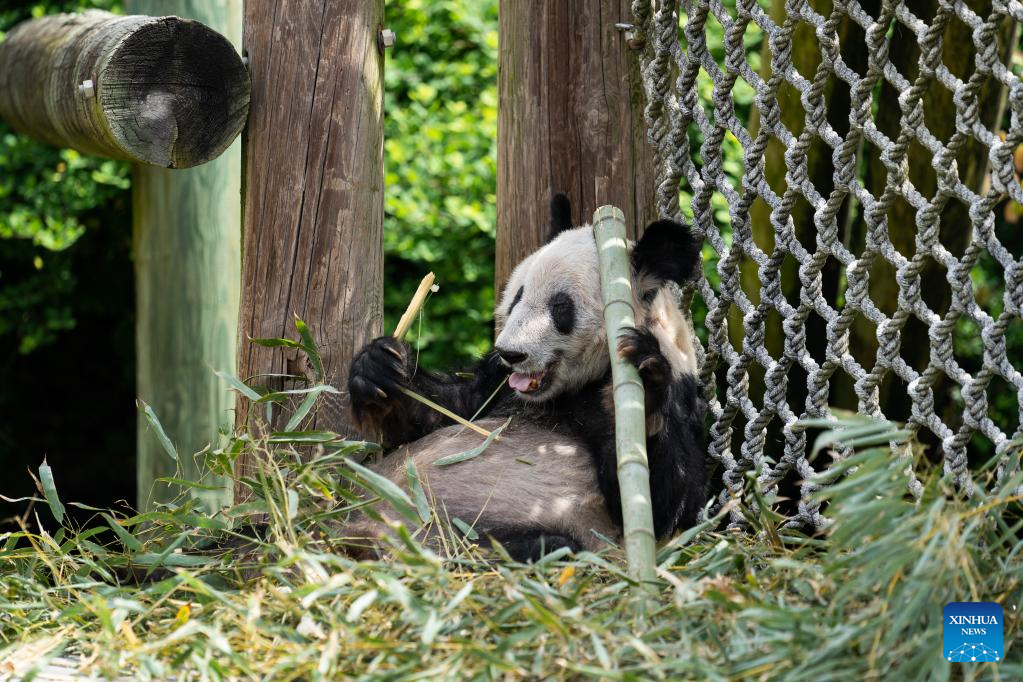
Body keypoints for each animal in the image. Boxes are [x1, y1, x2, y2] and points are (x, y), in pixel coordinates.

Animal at [345, 194, 707, 561]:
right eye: (517, 296)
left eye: (561, 307)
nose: (511, 353)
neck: (573, 388)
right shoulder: (496, 383)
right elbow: (447, 410)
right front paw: (379, 366)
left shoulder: (683, 394)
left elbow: (665, 505)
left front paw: (645, 386)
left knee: (544, 545)